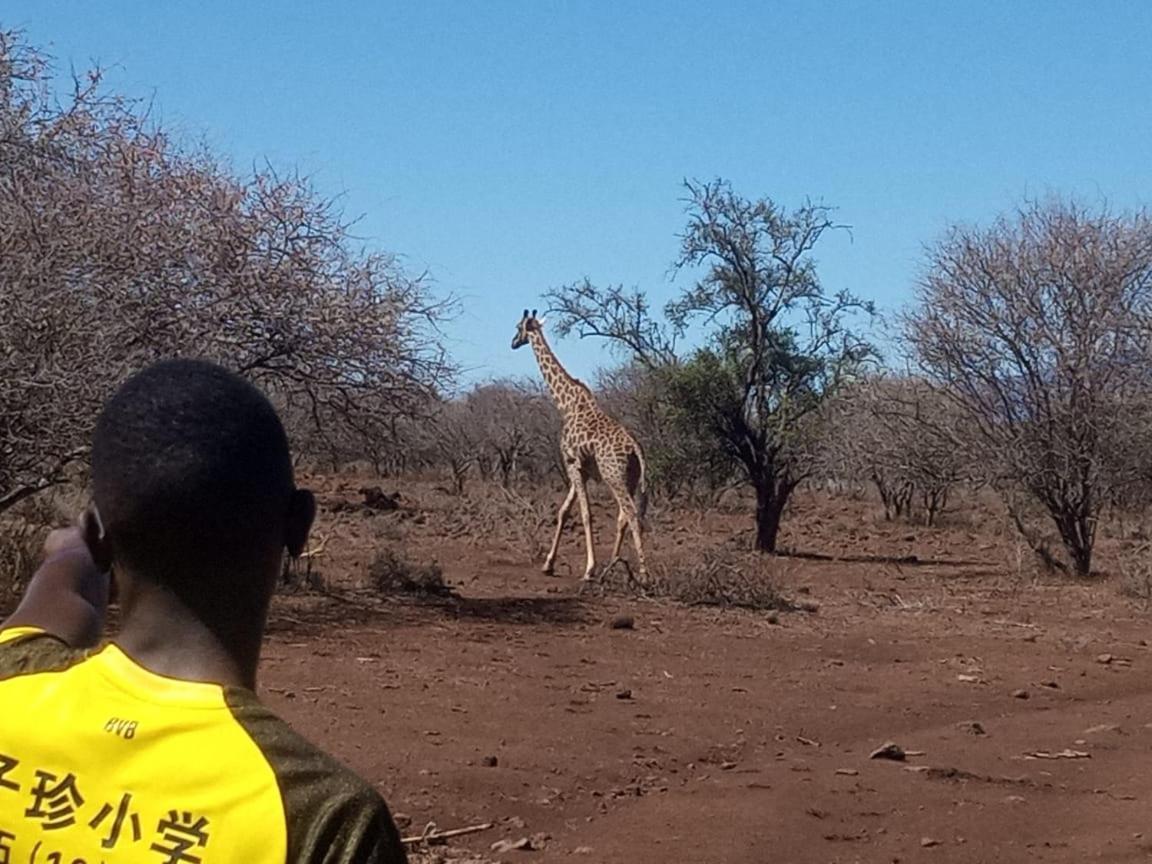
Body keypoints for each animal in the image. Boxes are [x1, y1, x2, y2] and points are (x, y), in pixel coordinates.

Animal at [511, 308, 649, 585]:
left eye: (518, 327)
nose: (512, 343)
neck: (566, 405)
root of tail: (635, 449)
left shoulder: (572, 463)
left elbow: (586, 515)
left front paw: (588, 569)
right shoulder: (580, 469)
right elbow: (564, 511)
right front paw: (548, 565)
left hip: (613, 476)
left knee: (630, 514)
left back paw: (642, 574)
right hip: (629, 478)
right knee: (623, 517)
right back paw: (614, 565)